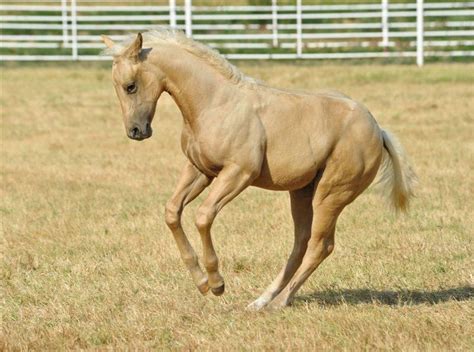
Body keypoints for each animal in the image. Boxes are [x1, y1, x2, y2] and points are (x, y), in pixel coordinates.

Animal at [103, 31, 414, 310]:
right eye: (117, 86)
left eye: (130, 86)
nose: (136, 131)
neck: (215, 103)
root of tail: (377, 130)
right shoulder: (200, 170)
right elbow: (171, 212)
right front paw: (201, 282)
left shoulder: (238, 173)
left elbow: (203, 217)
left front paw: (217, 283)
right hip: (301, 193)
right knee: (300, 244)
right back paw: (261, 301)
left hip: (331, 194)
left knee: (320, 245)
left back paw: (280, 302)